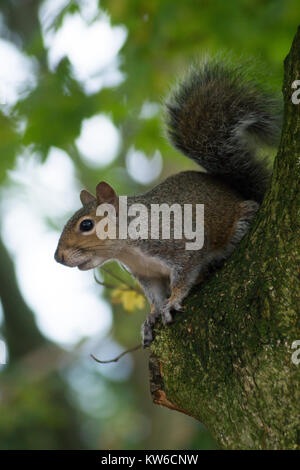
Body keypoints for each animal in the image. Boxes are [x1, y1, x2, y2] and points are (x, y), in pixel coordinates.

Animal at [54, 57, 282, 346]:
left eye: (86, 225)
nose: (58, 257)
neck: (128, 248)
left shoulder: (181, 243)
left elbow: (183, 277)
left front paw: (172, 302)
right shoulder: (148, 275)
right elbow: (154, 297)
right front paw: (151, 316)